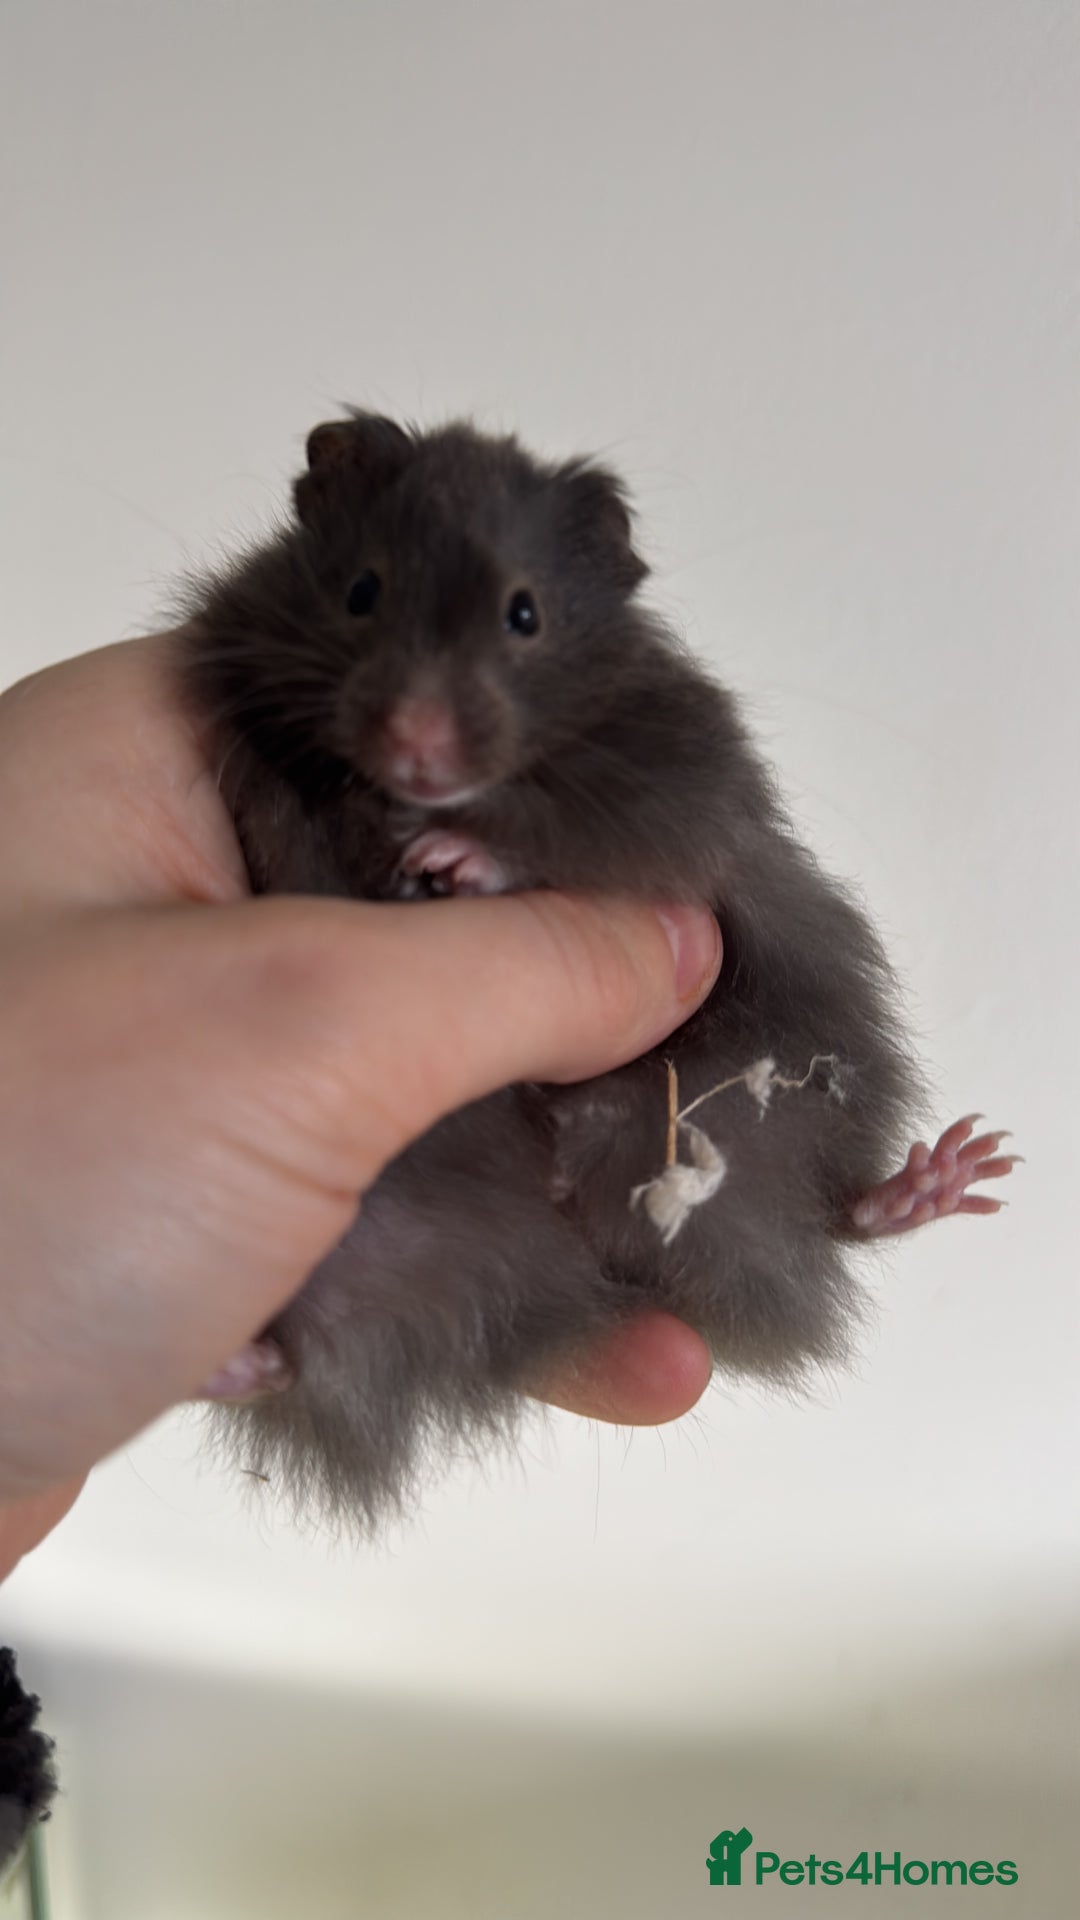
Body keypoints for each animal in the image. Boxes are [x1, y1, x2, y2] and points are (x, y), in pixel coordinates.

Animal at [177, 412, 1015, 1530]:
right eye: (361, 591)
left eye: (525, 613)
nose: (417, 746)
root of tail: (565, 1249)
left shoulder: (680, 784)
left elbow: (570, 840)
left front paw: (455, 856)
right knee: (284, 1362)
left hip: (772, 1125)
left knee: (838, 1215)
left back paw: (950, 1173)